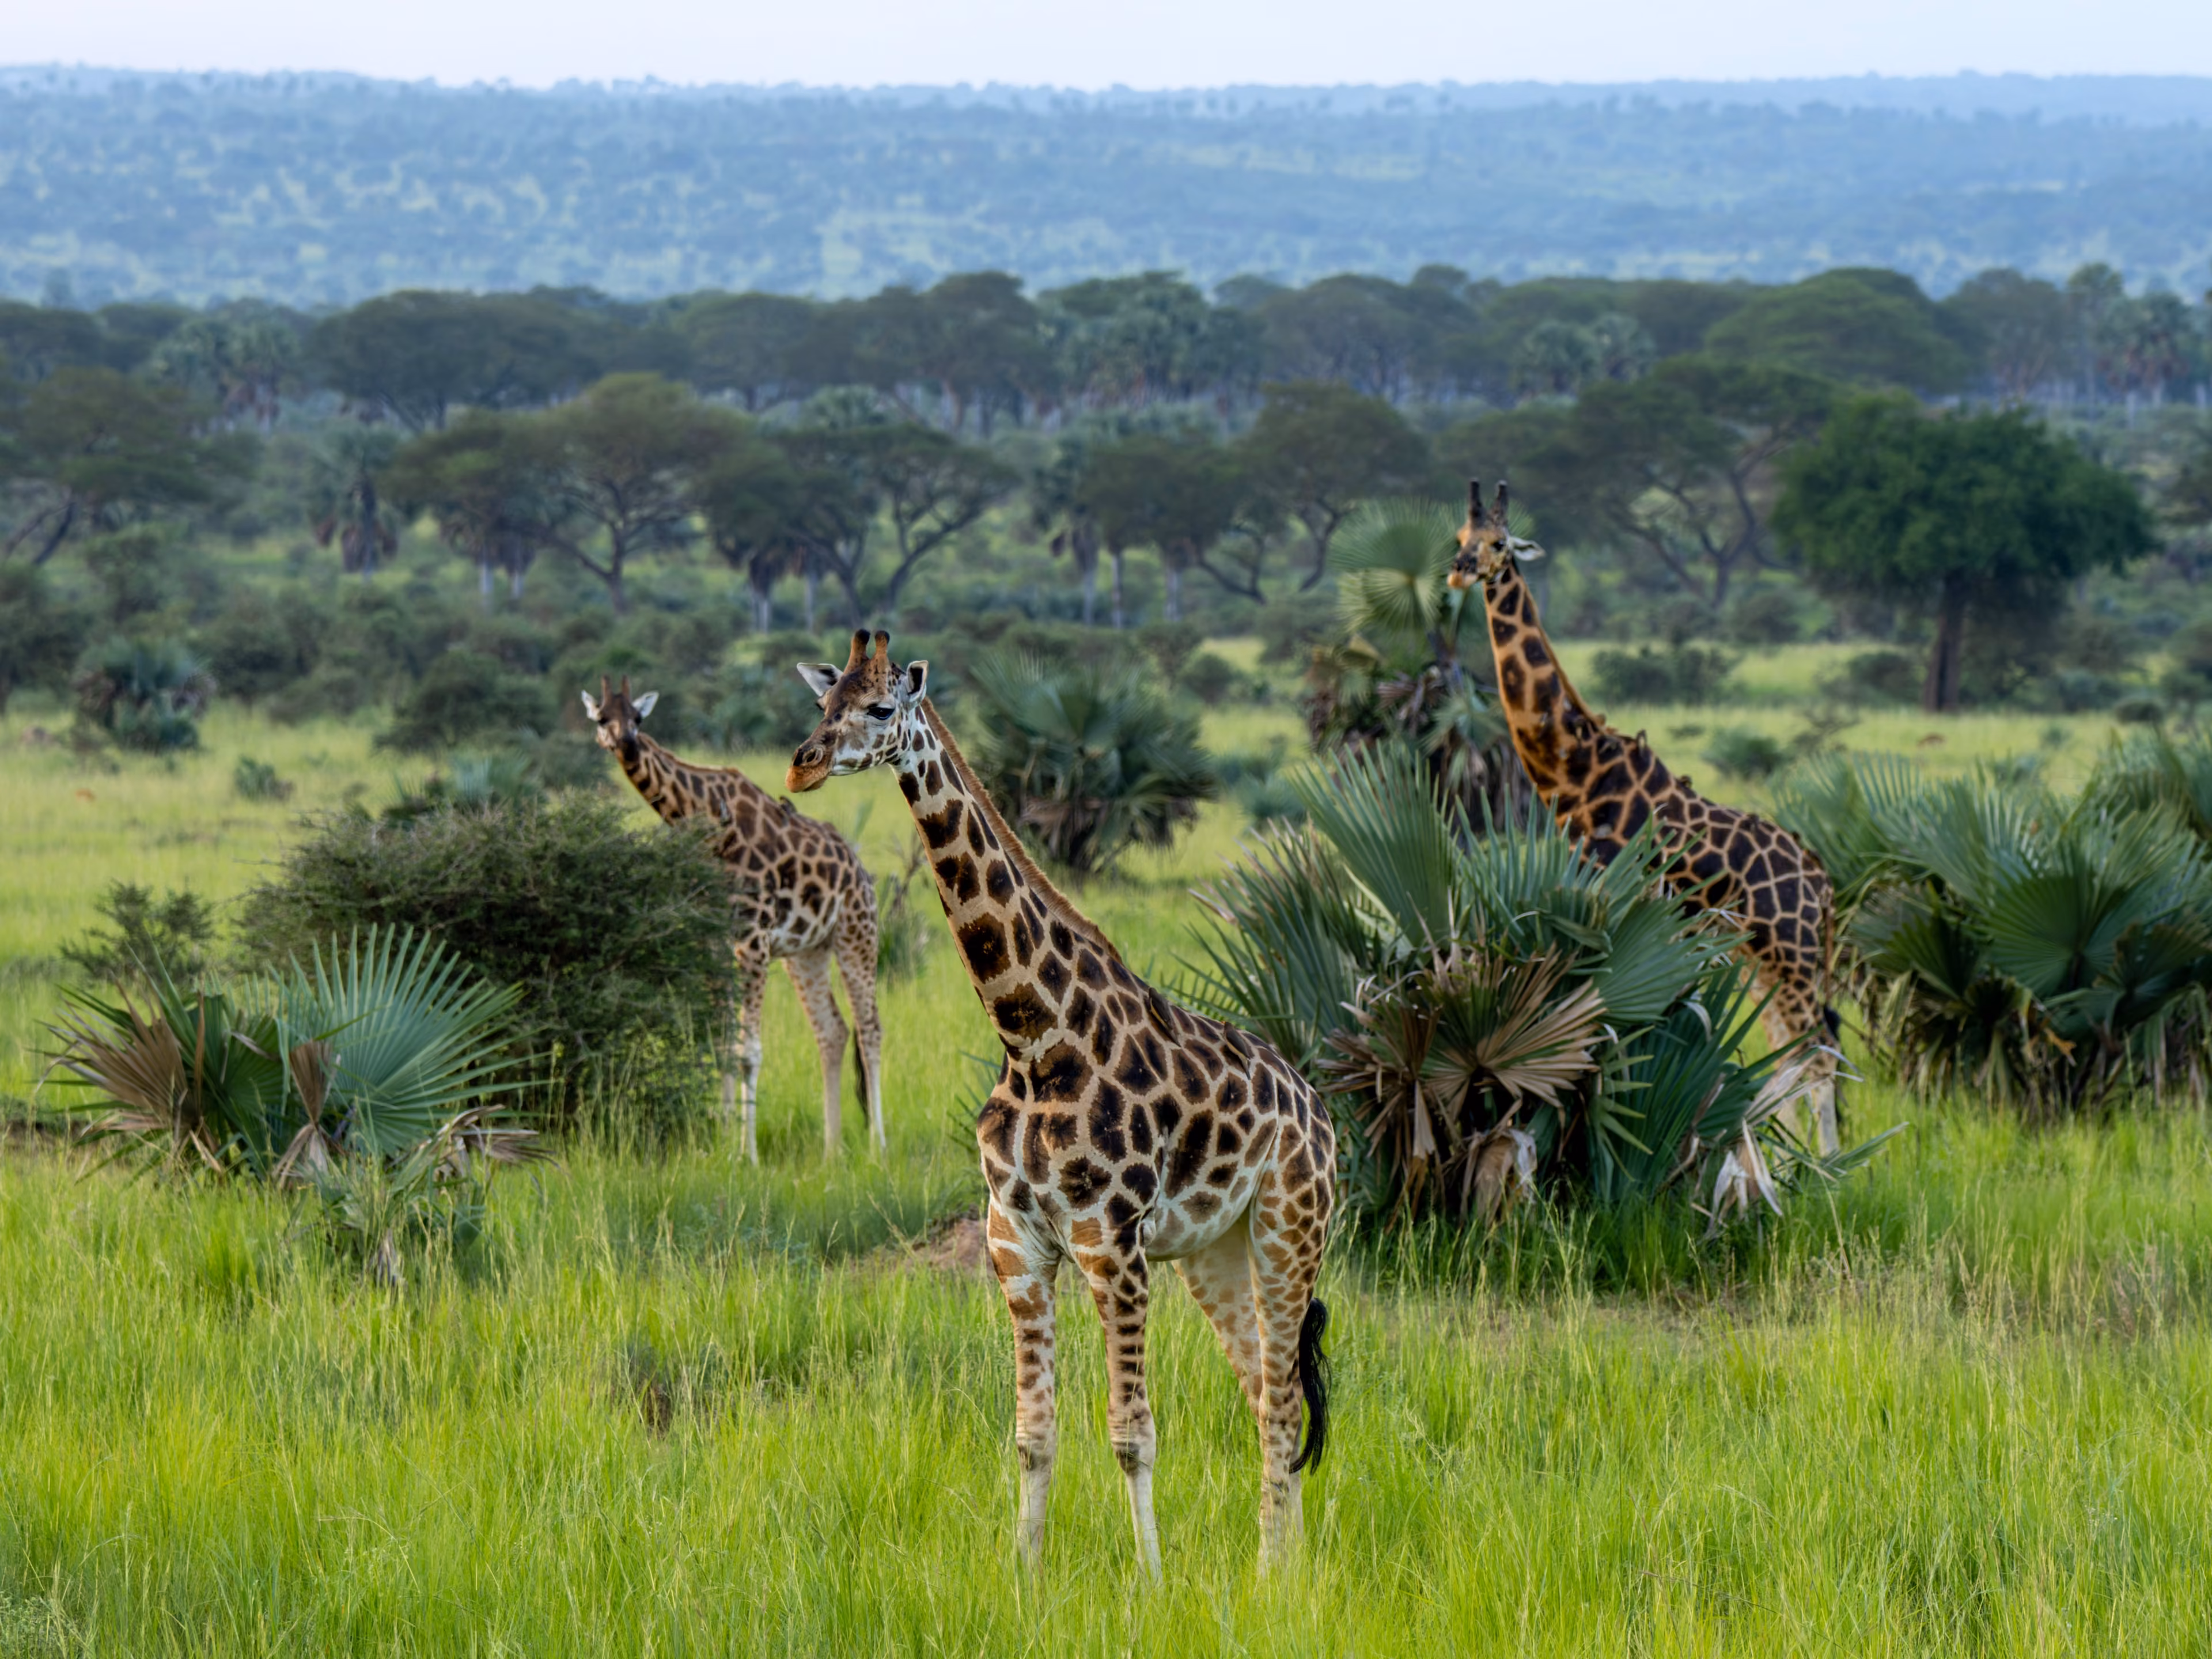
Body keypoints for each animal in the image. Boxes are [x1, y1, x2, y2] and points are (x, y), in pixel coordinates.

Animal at [583, 675, 883, 1162]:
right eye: (601, 718)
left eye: (639, 717)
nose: (626, 743)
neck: (701, 816)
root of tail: (861, 871)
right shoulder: (715, 942)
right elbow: (723, 1043)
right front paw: (723, 1142)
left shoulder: (752, 939)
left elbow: (748, 1051)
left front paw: (749, 1155)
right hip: (808, 952)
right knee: (833, 1032)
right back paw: (831, 1149)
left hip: (857, 934)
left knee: (871, 1030)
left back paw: (878, 1146)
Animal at [788, 630, 1336, 1575]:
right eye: (824, 702)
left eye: (881, 707)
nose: (803, 765)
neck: (1033, 1037)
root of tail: (1323, 1114)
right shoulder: (1016, 1242)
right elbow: (1032, 1434)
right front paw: (1025, 1574)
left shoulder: (1111, 1244)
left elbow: (1132, 1432)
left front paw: (1151, 1583)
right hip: (1215, 1253)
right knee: (1266, 1386)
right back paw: (1283, 1565)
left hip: (1290, 1229)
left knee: (1283, 1397)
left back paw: (1273, 1574)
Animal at [1446, 483, 1842, 1162]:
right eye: (1459, 538)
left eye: (1498, 543)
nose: (1461, 570)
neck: (1578, 777)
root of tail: (1820, 886)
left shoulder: (1616, 905)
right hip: (1764, 961)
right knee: (1796, 1055)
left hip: (1792, 954)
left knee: (1819, 1055)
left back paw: (1830, 1169)